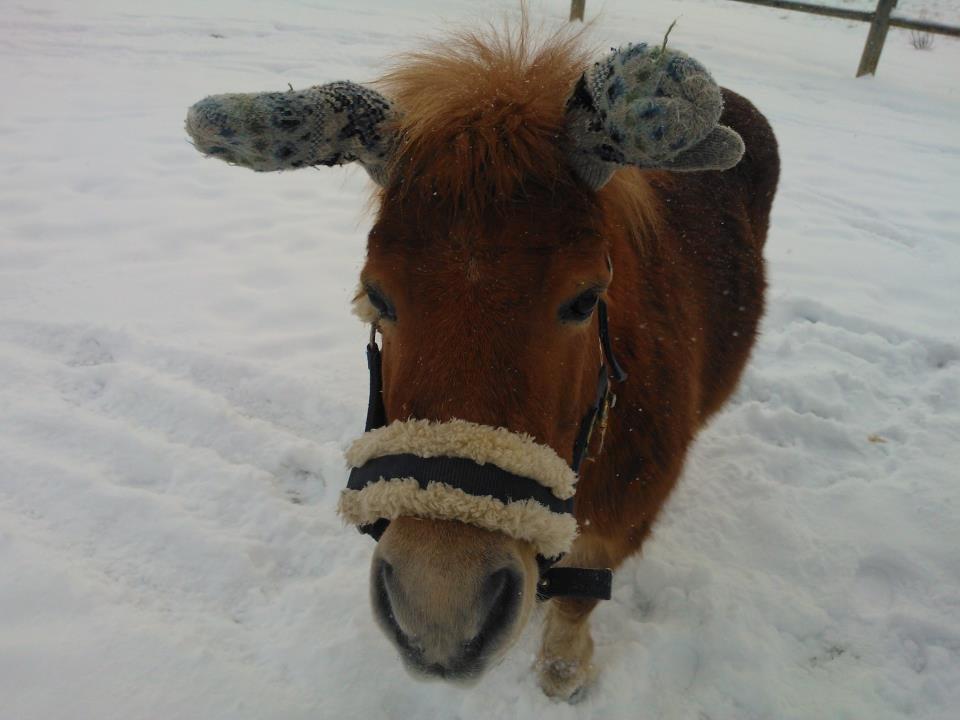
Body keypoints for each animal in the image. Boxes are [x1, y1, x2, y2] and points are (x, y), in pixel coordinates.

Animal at [186, 21, 779, 699]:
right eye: (376, 295)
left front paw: (562, 671)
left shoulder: (624, 522)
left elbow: (578, 600)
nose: (439, 606)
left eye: (585, 298)